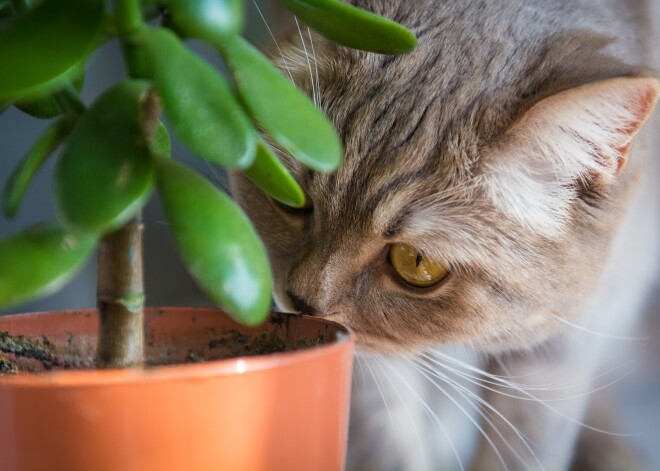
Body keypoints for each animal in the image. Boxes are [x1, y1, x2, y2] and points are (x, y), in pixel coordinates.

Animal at [232, 0, 660, 470]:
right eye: (291, 197)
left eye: (417, 263)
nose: (304, 303)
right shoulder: (369, 360)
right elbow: (387, 439)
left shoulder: (561, 350)